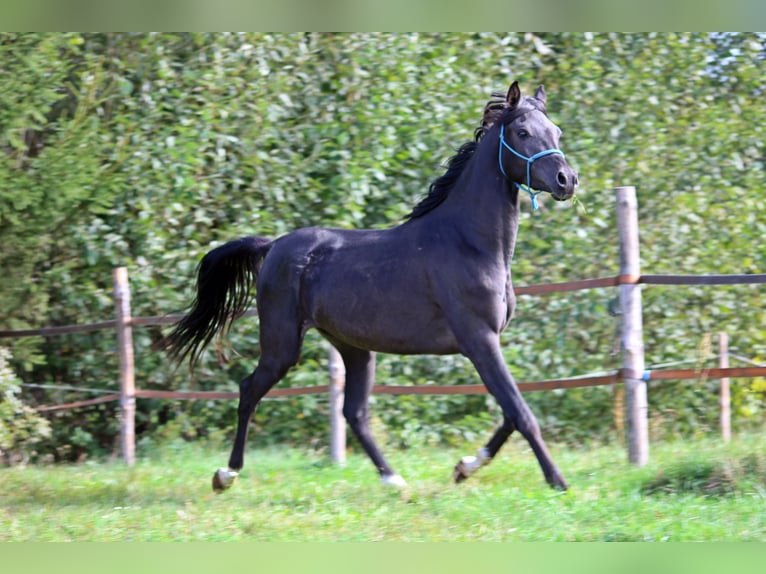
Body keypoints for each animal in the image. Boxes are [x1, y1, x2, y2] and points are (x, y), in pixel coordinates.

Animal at [166, 81, 576, 496]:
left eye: (556, 131)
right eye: (522, 132)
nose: (567, 180)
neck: (468, 243)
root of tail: (274, 245)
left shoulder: (485, 343)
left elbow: (508, 413)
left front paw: (464, 467)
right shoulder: (480, 340)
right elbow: (521, 412)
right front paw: (557, 480)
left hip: (354, 348)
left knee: (354, 411)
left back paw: (393, 480)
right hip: (282, 345)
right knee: (250, 389)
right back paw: (226, 475)